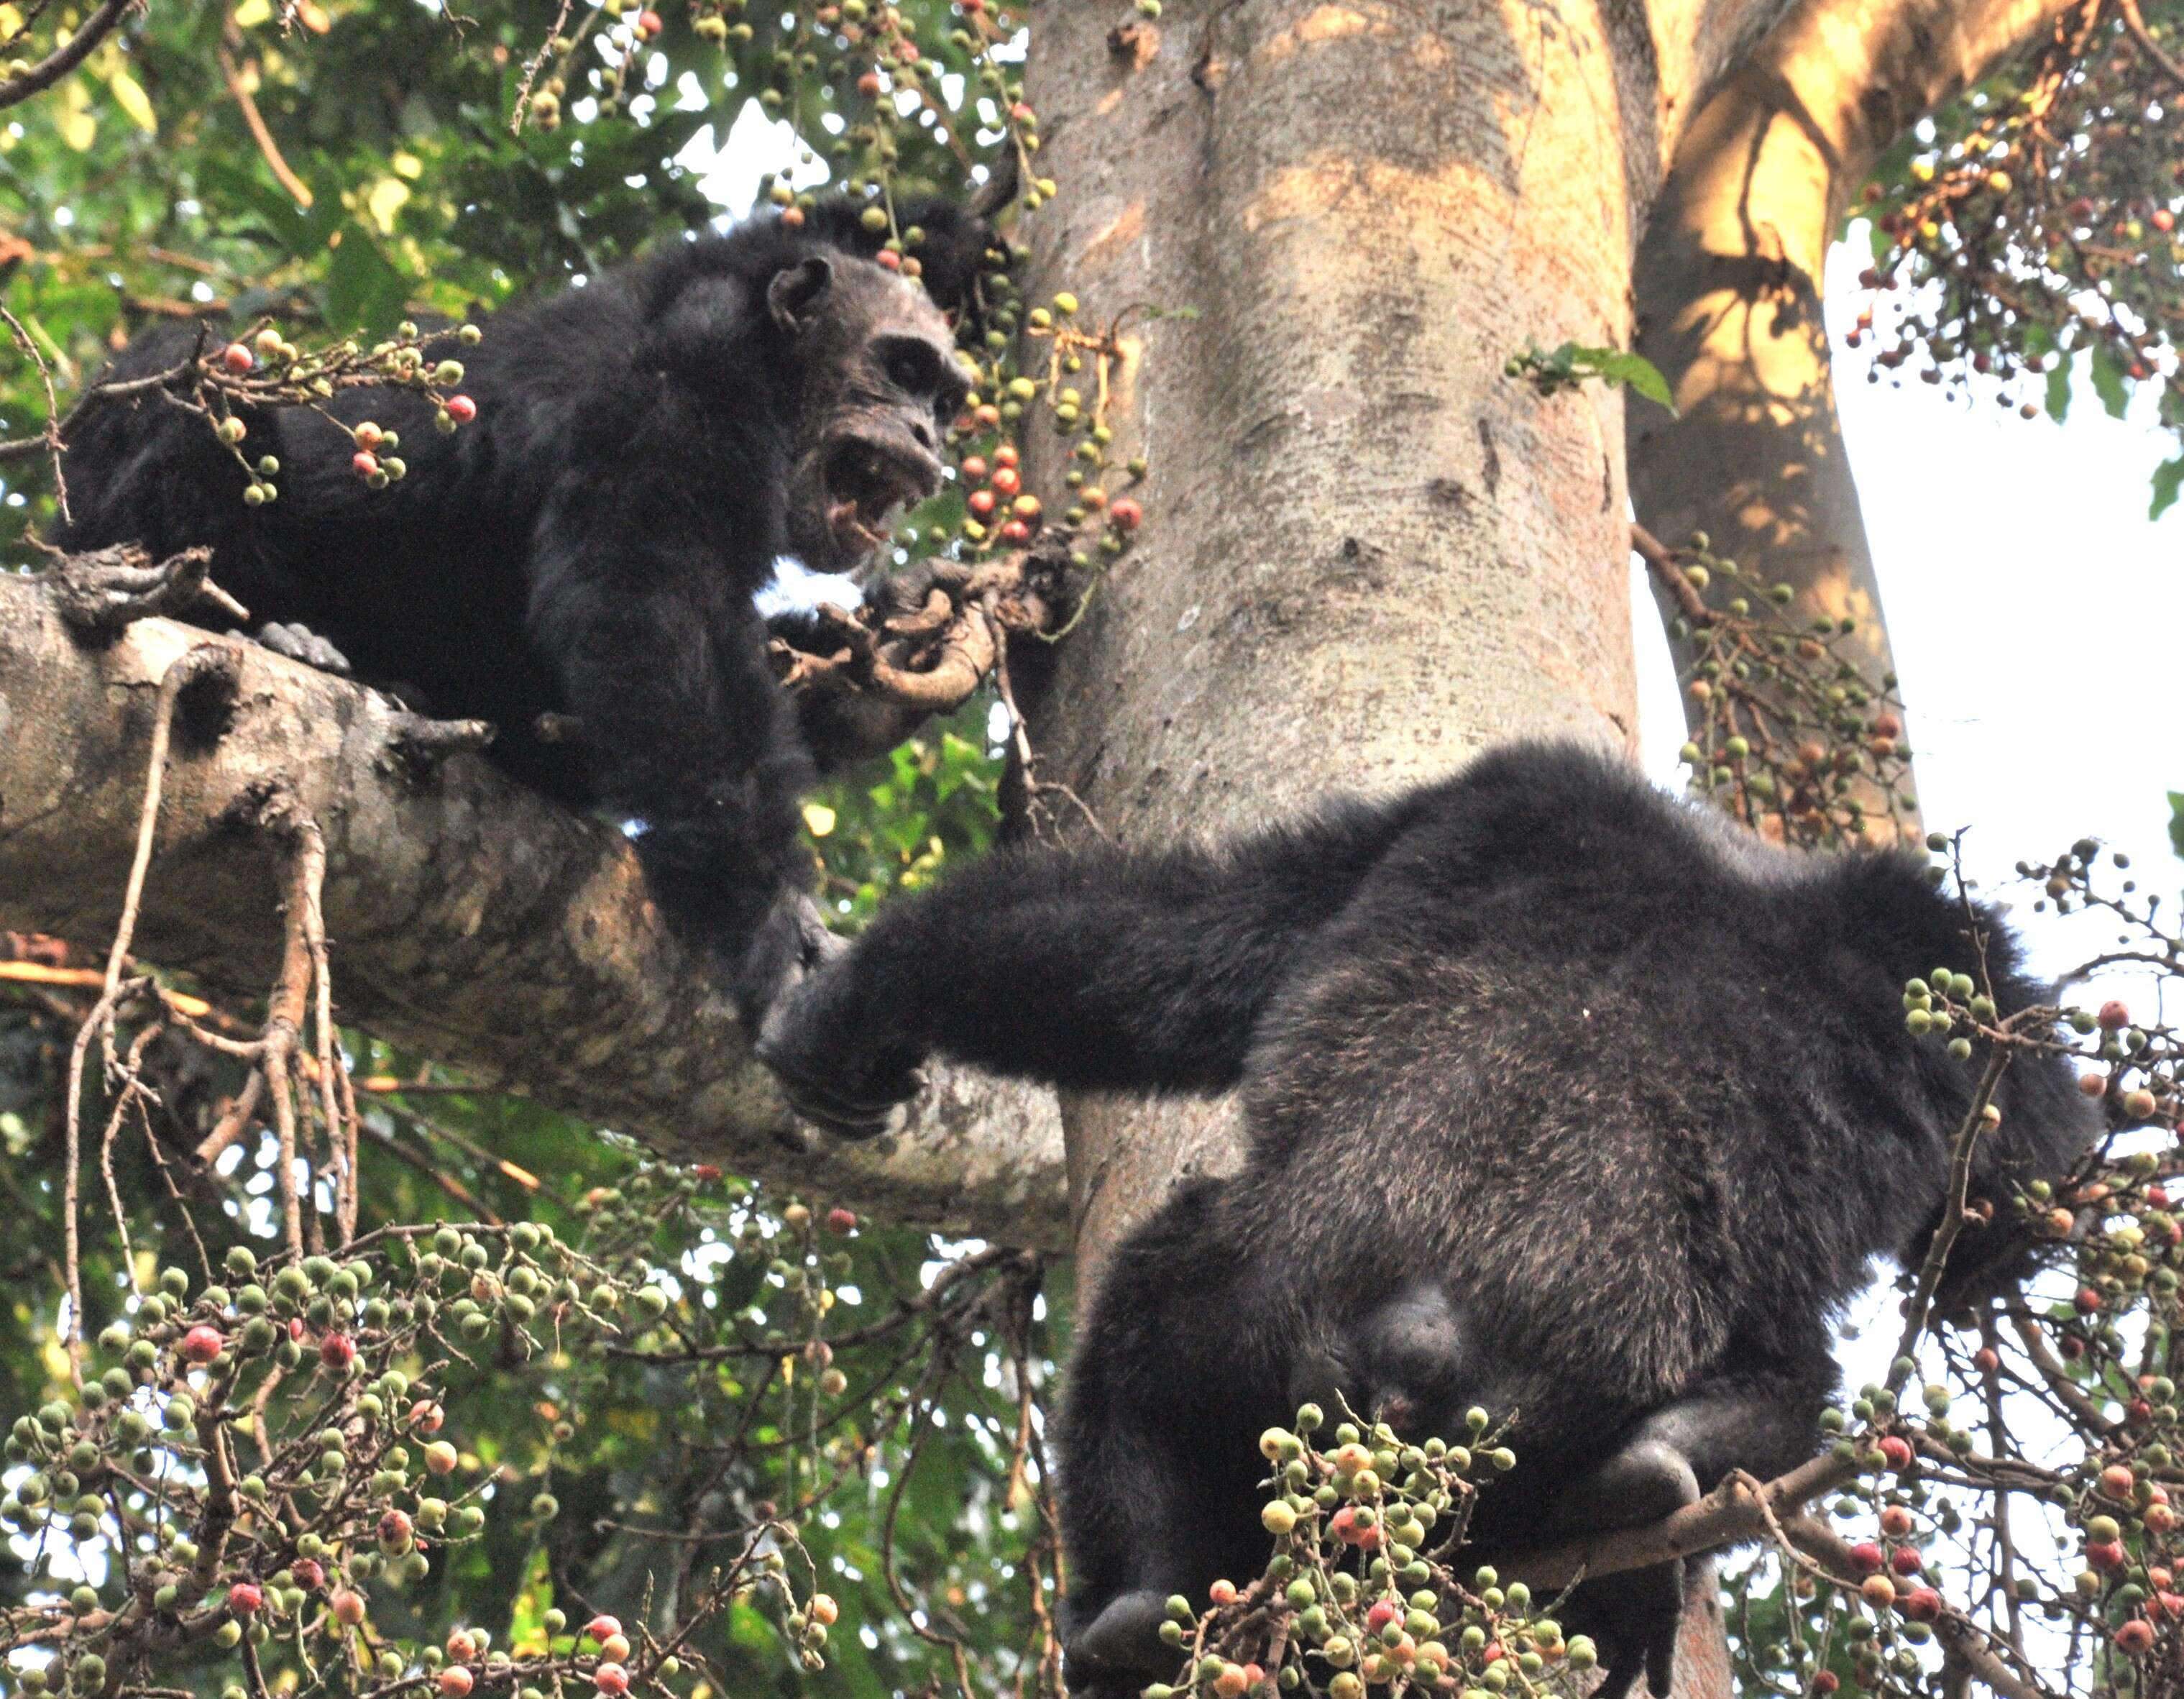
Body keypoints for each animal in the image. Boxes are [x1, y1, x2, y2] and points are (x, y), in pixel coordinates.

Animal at [51, 198, 991, 1017]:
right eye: (903, 368)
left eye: (943, 399)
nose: (926, 432)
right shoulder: (695, 365)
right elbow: (653, 597)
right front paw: (768, 917)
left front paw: (882, 663)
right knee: (196, 384)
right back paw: (277, 632)